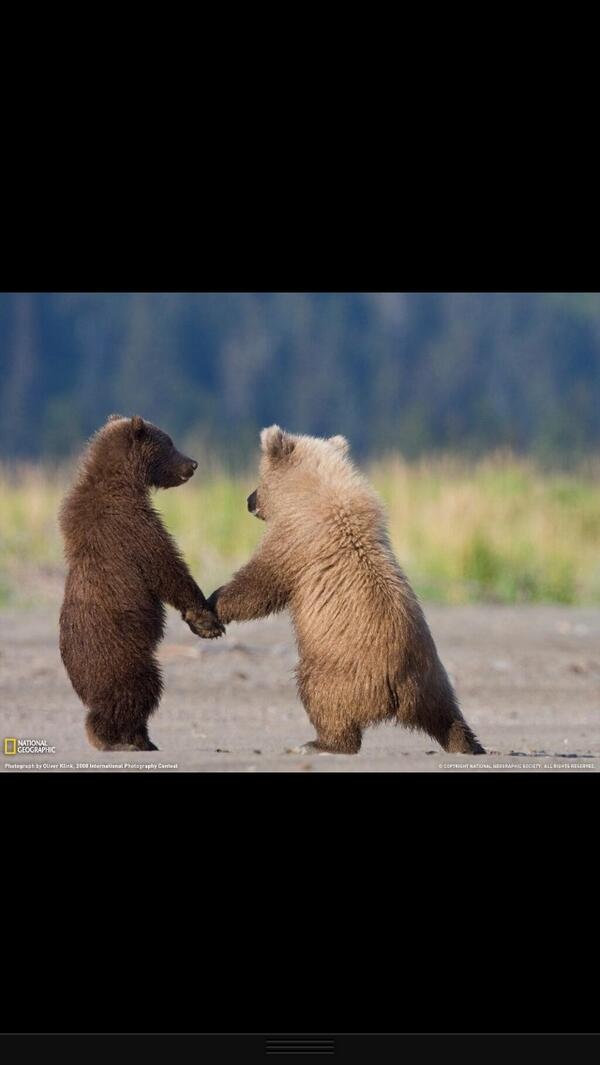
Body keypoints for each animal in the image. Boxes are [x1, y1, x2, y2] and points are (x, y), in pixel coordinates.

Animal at [59, 414, 224, 752]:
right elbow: (164, 566)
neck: (124, 480)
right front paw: (204, 619)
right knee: (139, 691)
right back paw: (124, 738)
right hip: (123, 656)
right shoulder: (130, 523)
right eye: (169, 443)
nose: (193, 463)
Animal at [207, 426, 485, 756]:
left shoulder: (298, 541)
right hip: (433, 678)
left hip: (340, 669)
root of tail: (399, 688)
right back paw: (468, 744)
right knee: (446, 714)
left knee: (321, 697)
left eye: (259, 479)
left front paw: (214, 603)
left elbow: (262, 583)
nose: (248, 500)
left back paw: (320, 742)